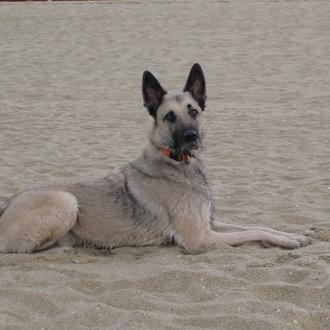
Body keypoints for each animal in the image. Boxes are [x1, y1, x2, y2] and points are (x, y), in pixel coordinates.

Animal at [0, 65, 310, 255]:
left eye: (193, 111)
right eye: (169, 117)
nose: (192, 136)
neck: (177, 162)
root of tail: (7, 202)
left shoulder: (211, 224)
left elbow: (258, 225)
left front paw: (293, 234)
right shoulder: (200, 237)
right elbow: (254, 231)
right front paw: (287, 240)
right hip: (66, 201)